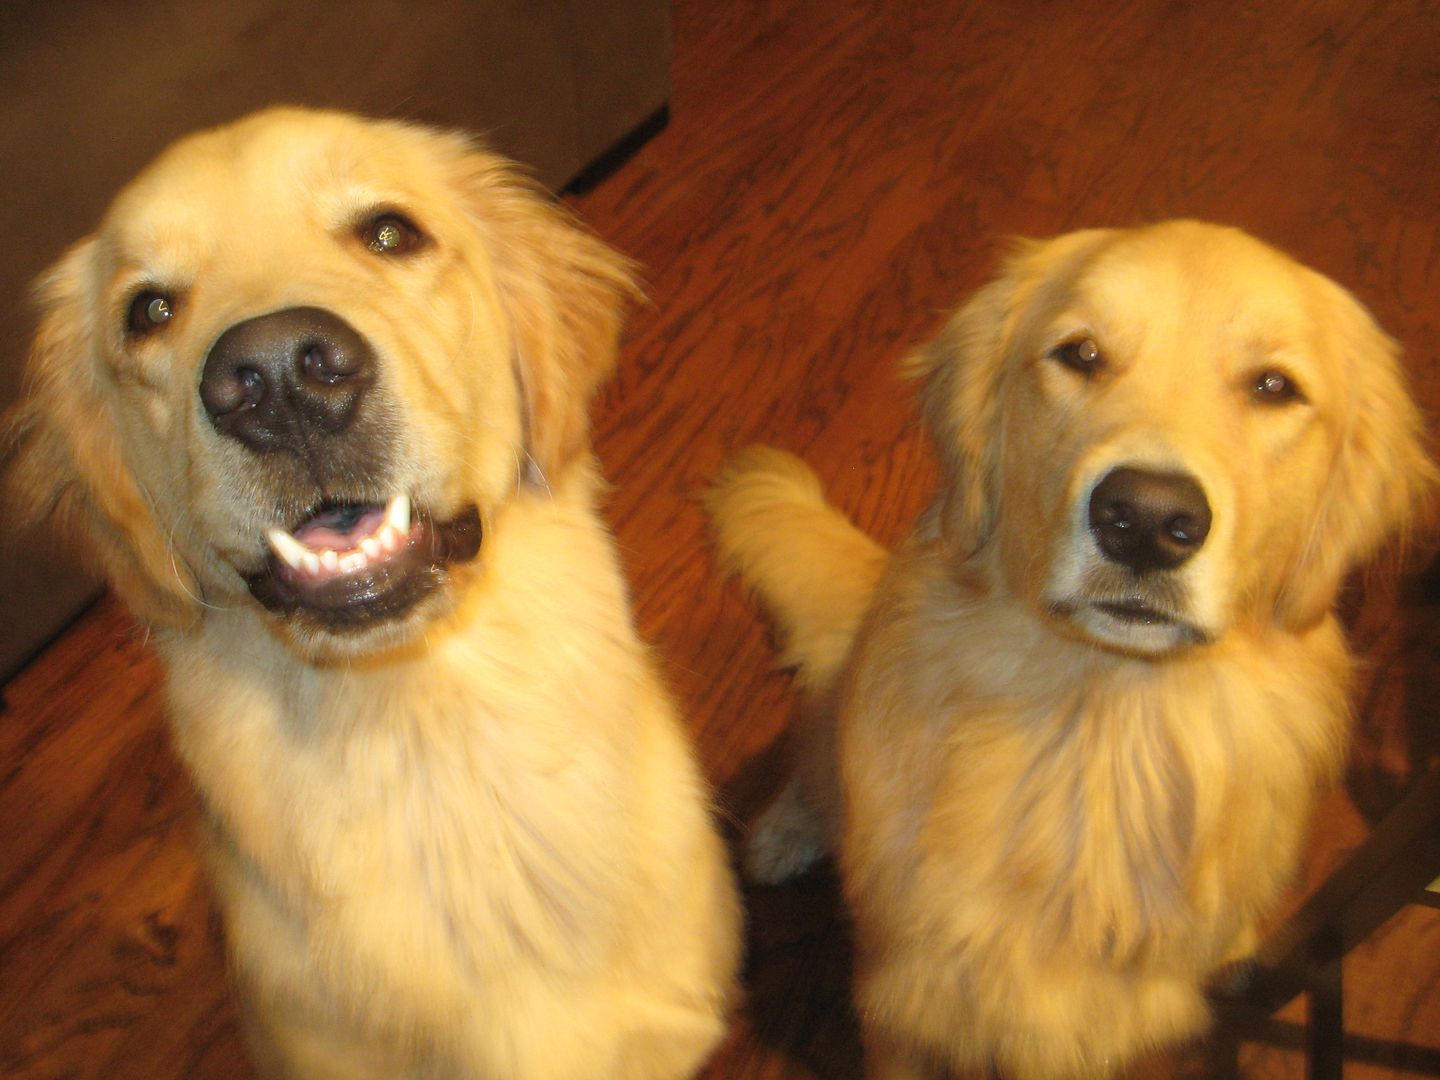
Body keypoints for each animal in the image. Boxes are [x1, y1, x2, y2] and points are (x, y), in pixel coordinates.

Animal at [705, 221, 1428, 1080]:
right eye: (1080, 354)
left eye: (1273, 387)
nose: (1145, 518)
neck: (1100, 733)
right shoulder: (904, 1007)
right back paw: (784, 833)